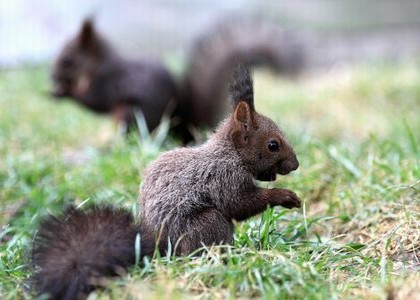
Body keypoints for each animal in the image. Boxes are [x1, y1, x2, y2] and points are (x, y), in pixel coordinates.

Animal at [33, 63, 302, 300]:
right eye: (273, 145)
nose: (295, 165)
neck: (230, 153)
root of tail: (158, 248)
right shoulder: (224, 177)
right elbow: (239, 204)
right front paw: (285, 196)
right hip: (207, 223)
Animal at [50, 18, 304, 142]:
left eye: (67, 61)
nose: (52, 77)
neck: (97, 65)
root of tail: (182, 130)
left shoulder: (107, 82)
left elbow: (95, 102)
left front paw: (62, 92)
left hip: (130, 115)